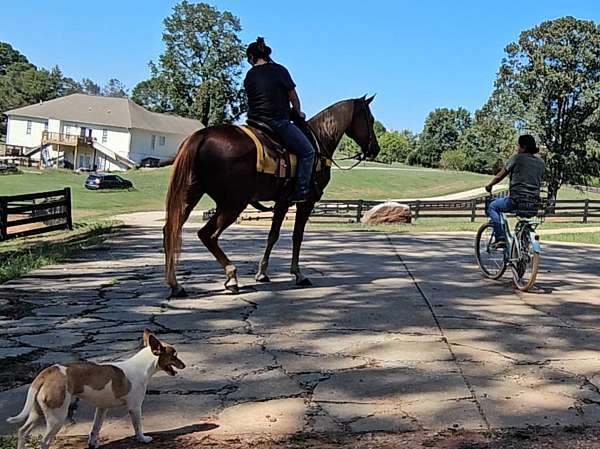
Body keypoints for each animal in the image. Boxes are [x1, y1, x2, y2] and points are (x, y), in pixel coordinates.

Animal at [6, 328, 185, 448]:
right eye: (174, 356)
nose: (184, 365)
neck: (142, 366)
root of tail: (50, 371)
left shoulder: (101, 409)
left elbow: (95, 429)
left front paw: (93, 443)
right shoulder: (135, 408)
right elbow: (138, 427)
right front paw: (143, 439)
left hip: (37, 413)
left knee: (22, 431)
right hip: (57, 417)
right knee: (44, 442)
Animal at [164, 95, 380, 298]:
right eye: (370, 119)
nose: (375, 149)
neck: (318, 141)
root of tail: (201, 136)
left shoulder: (282, 202)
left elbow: (272, 235)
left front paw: (262, 273)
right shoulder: (306, 202)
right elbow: (297, 236)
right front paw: (298, 274)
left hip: (191, 195)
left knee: (170, 230)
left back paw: (175, 284)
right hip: (233, 203)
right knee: (207, 235)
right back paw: (231, 276)